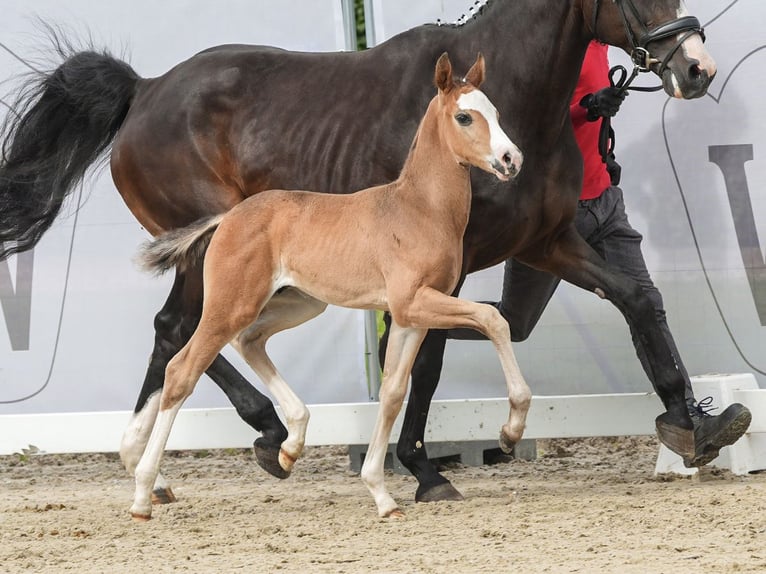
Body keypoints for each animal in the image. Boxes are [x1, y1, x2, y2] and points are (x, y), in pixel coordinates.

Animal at [134, 55, 528, 520]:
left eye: (497, 113)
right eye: (464, 117)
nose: (511, 159)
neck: (418, 210)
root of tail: (227, 218)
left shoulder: (411, 316)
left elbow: (393, 392)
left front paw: (381, 494)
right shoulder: (413, 303)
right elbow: (493, 318)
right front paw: (510, 431)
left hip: (301, 305)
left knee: (250, 341)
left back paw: (289, 447)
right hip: (231, 305)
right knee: (182, 370)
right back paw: (143, 494)